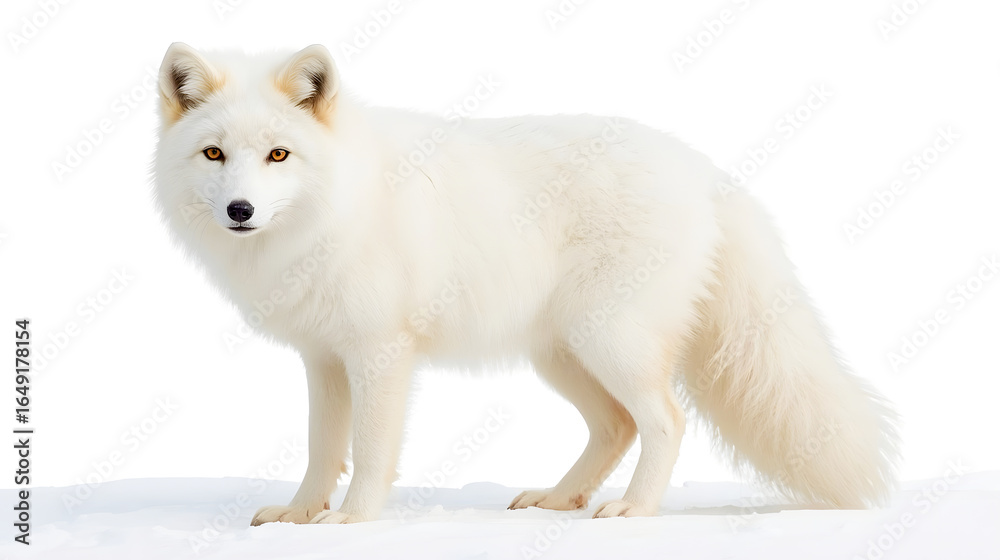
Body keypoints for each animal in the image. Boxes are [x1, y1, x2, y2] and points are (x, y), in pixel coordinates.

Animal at [153, 43, 899, 525]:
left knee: (664, 420)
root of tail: (705, 170)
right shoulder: (324, 358)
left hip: (610, 341)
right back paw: (560, 500)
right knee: (616, 427)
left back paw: (634, 509)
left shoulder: (381, 353)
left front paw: (352, 523)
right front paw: (301, 515)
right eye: (214, 154)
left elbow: (369, 452)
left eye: (279, 154)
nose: (239, 210)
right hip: (561, 355)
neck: (334, 207)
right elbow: (319, 450)